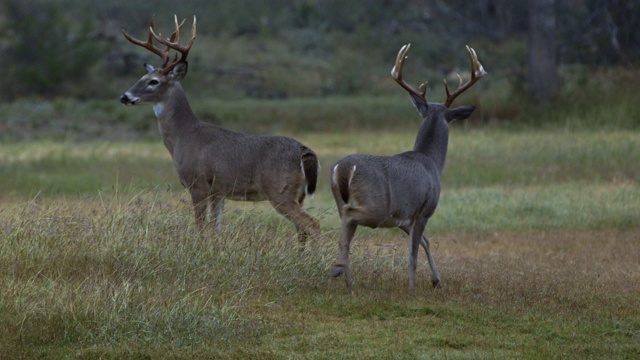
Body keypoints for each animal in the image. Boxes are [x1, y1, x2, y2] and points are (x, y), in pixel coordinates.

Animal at [119, 15, 320, 243]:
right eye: (141, 78)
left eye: (154, 81)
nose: (124, 96)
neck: (184, 136)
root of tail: (304, 151)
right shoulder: (218, 192)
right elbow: (216, 228)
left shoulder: (198, 184)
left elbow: (200, 227)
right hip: (298, 194)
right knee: (302, 229)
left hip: (280, 190)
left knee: (312, 224)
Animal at [330, 43, 484, 292]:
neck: (431, 161)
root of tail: (343, 169)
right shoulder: (424, 209)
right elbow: (413, 253)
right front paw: (412, 287)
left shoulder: (404, 217)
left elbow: (425, 241)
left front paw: (437, 280)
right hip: (375, 205)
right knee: (349, 216)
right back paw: (339, 271)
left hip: (341, 199)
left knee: (346, 227)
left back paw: (346, 279)